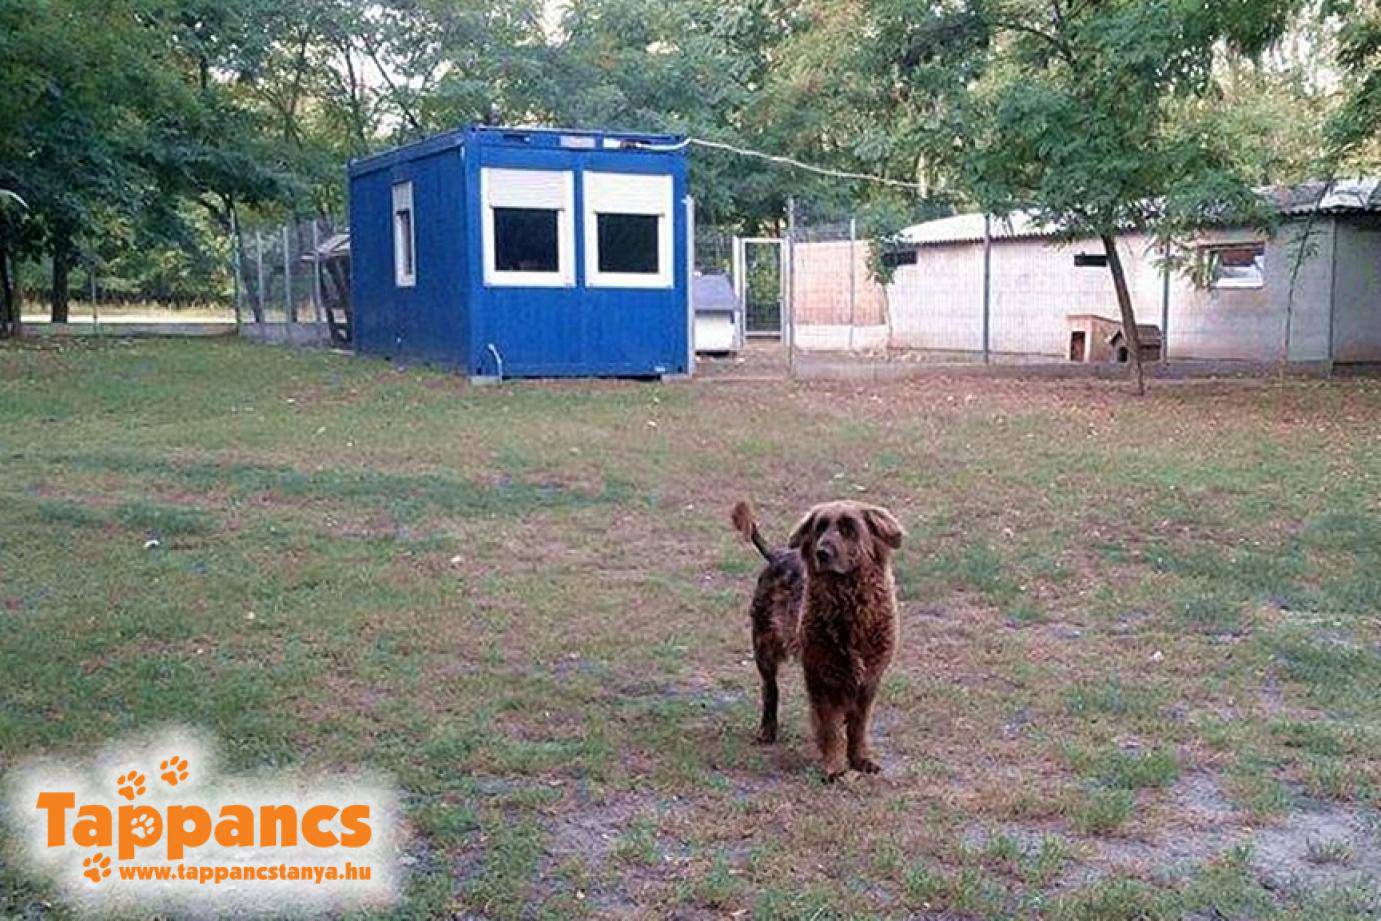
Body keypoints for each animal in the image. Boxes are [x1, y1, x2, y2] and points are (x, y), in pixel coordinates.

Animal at [731, 499, 905, 781]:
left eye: (849, 528)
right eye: (820, 527)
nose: (822, 553)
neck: (848, 603)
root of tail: (778, 555)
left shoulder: (870, 678)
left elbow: (858, 726)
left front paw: (861, 759)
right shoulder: (821, 675)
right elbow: (830, 726)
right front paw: (834, 767)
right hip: (763, 643)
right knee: (770, 689)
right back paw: (767, 730)